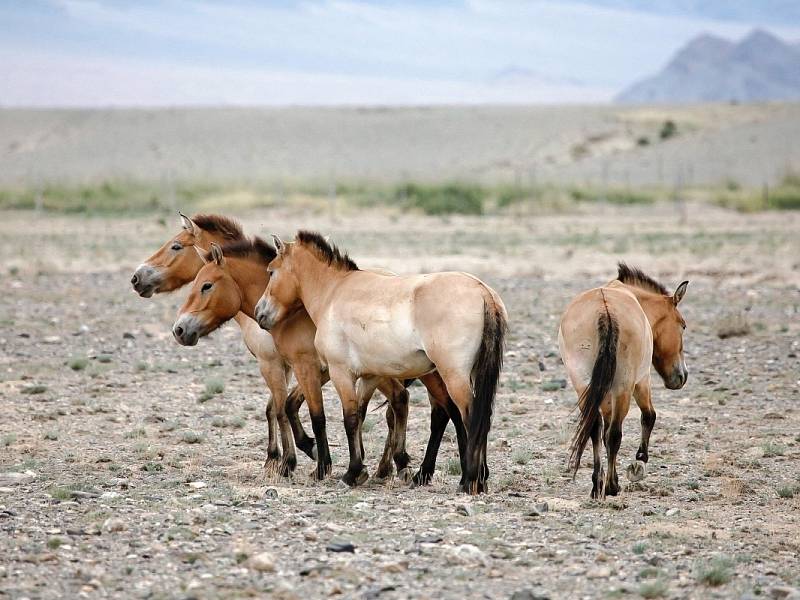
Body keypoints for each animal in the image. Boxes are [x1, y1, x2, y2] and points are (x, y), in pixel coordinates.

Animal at [130, 213, 314, 472]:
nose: (136, 278)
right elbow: (272, 408)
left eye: (176, 246)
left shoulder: (274, 363)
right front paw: (273, 457)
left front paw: (290, 459)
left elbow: (281, 409)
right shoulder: (283, 366)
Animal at [256, 230, 506, 492]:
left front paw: (351, 473)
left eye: (271, 271)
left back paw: (469, 481)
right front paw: (364, 469)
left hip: (453, 376)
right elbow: (360, 415)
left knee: (469, 417)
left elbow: (349, 419)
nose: (259, 313)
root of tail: (483, 291)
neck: (334, 292)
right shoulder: (370, 376)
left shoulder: (340, 372)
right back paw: (475, 478)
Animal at [560, 264, 692, 500]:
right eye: (683, 326)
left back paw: (598, 484)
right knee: (615, 434)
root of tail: (605, 310)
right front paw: (639, 463)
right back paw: (612, 486)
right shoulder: (642, 381)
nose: (681, 376)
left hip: (583, 385)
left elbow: (602, 431)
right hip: (624, 387)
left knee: (595, 427)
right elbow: (649, 416)